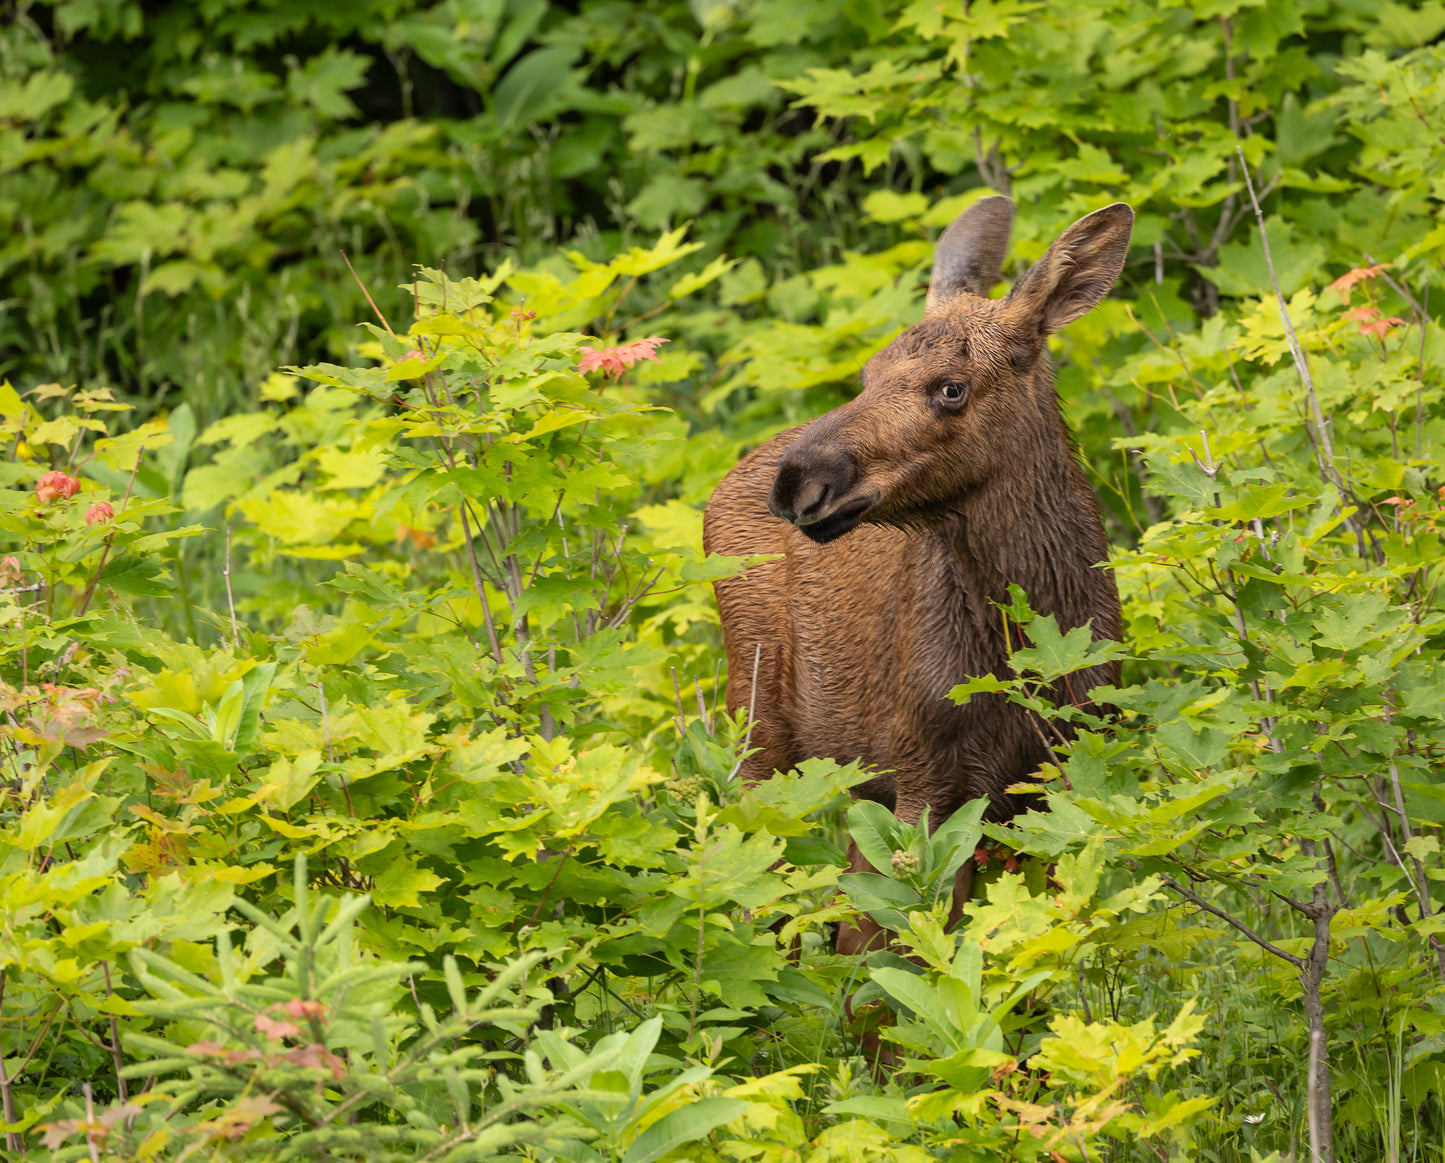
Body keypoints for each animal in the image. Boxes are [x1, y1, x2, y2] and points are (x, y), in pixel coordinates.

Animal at [702, 196, 1132, 954]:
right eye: (868, 372)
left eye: (952, 388)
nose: (798, 480)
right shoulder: (924, 776)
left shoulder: (1070, 770)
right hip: (758, 720)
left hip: (854, 774)